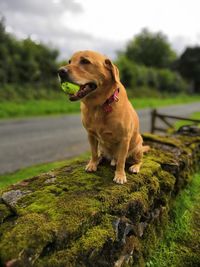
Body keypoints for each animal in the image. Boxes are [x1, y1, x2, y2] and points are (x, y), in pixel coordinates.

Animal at [57, 50, 147, 184]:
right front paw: (93, 164)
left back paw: (135, 166)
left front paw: (120, 175)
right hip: (103, 147)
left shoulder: (124, 139)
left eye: (85, 61)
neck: (99, 105)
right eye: (70, 61)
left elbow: (122, 161)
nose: (60, 71)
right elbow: (94, 152)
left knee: (138, 160)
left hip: (137, 148)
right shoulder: (91, 135)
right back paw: (101, 159)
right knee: (102, 154)